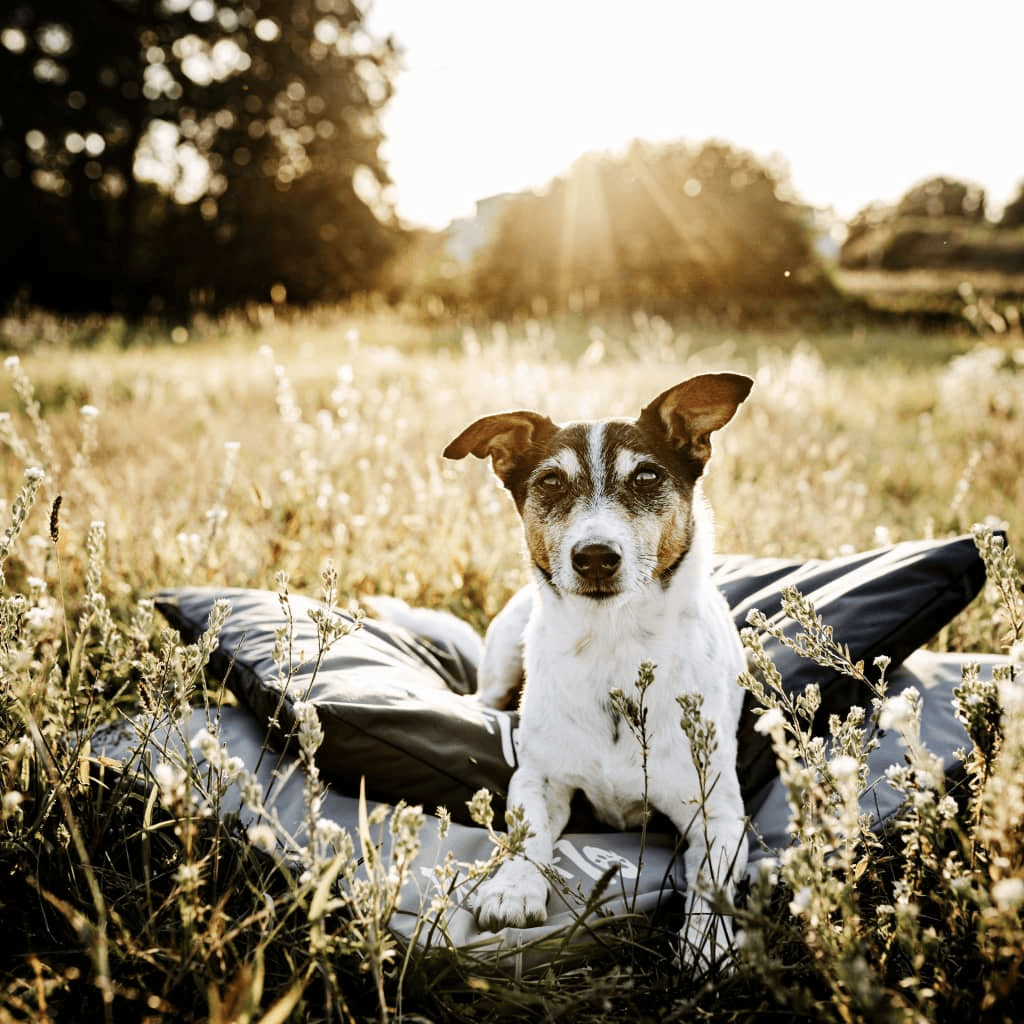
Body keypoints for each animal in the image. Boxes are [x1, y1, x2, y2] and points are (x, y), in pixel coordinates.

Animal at [446, 374, 753, 958]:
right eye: (550, 481)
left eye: (648, 475)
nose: (593, 557)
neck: (614, 642)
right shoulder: (539, 777)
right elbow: (527, 832)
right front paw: (513, 888)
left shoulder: (717, 811)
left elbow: (713, 882)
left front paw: (705, 944)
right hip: (505, 648)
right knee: (482, 696)